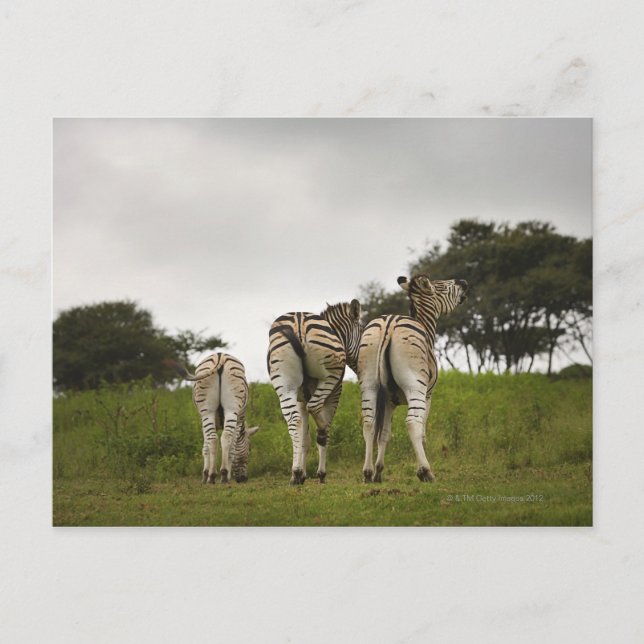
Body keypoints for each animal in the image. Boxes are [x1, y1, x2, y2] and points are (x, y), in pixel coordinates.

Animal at [169, 353, 260, 484]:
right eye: (250, 449)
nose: (244, 479)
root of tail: (220, 356)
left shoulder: (205, 421)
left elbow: (206, 447)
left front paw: (206, 475)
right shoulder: (238, 421)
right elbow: (230, 448)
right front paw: (219, 474)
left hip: (210, 411)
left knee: (215, 439)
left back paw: (214, 475)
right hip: (229, 409)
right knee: (223, 437)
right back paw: (221, 475)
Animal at [267, 300, 363, 485]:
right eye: (363, 332)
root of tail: (299, 322)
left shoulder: (300, 399)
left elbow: (304, 437)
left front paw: (300, 474)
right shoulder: (335, 392)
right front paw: (320, 473)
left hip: (284, 383)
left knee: (294, 422)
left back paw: (296, 472)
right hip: (329, 378)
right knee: (316, 410)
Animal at [357, 274, 468, 483]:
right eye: (441, 286)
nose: (464, 282)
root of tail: (389, 323)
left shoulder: (390, 401)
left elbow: (384, 434)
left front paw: (378, 471)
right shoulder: (428, 395)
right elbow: (422, 433)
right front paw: (419, 471)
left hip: (369, 384)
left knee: (368, 422)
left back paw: (367, 472)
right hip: (414, 385)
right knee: (412, 422)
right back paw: (427, 471)